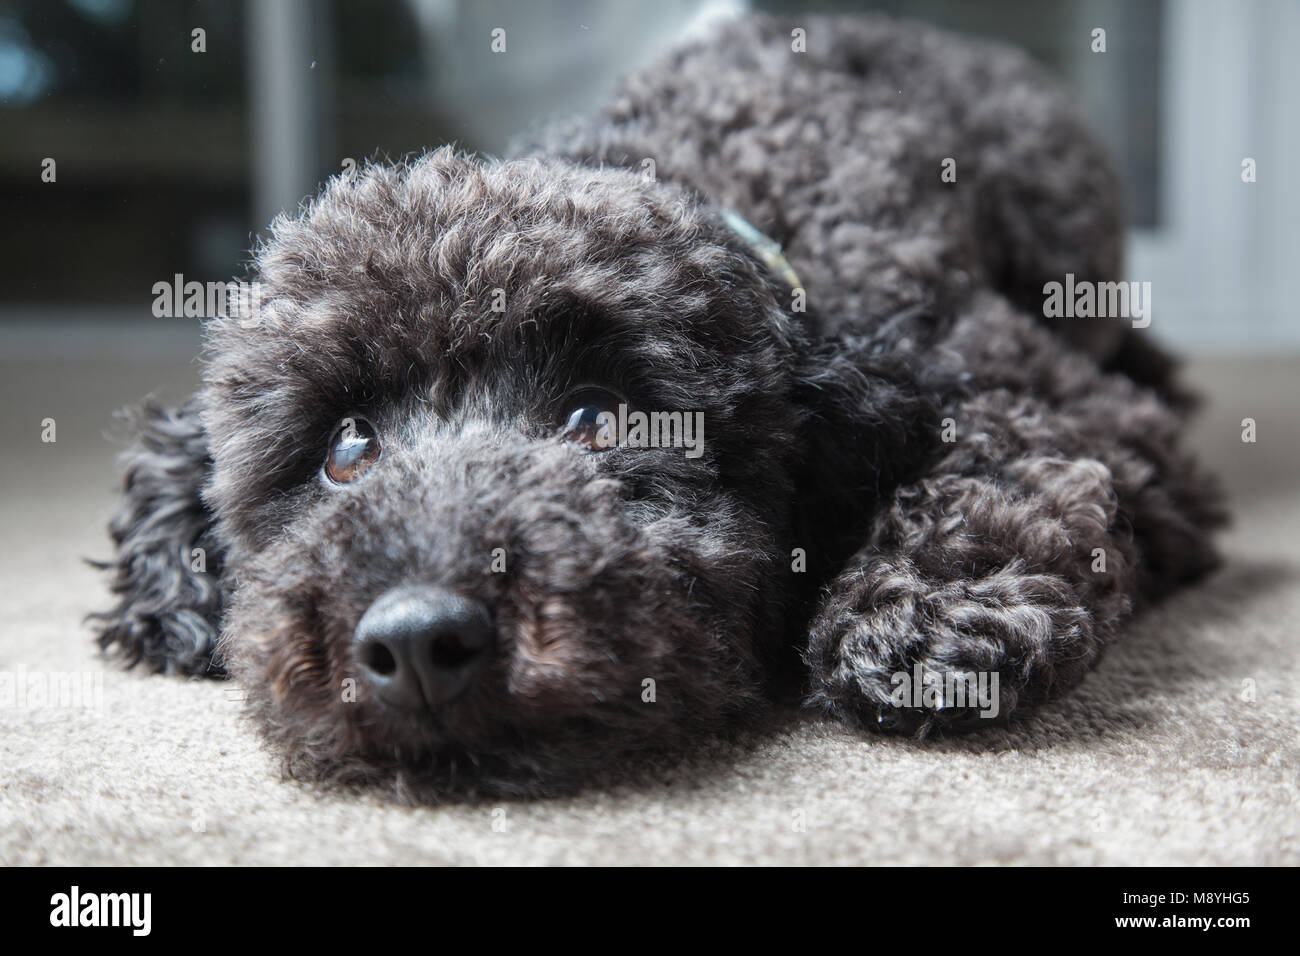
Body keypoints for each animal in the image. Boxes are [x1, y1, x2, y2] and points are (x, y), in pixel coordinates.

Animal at [96, 14, 1222, 796]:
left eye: (601, 418)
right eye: (344, 447)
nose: (417, 643)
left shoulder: (1076, 419)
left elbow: (1005, 480)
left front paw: (927, 615)